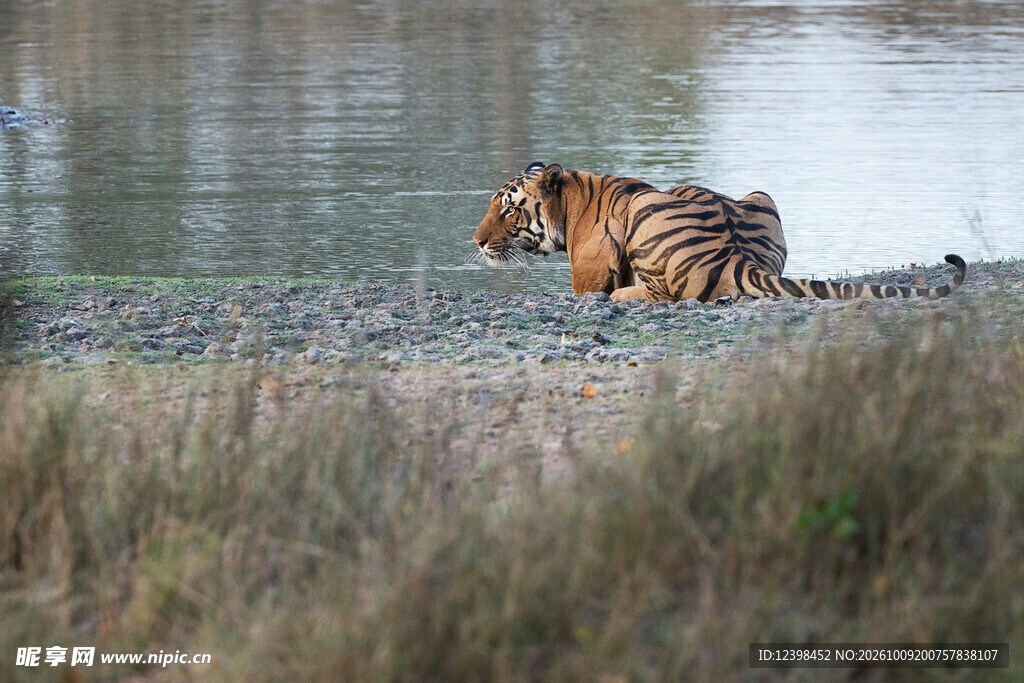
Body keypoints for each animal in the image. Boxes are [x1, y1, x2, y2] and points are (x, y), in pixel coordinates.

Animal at [472, 162, 966, 302]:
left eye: (508, 209)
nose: (476, 241)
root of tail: (739, 256)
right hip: (761, 194)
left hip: (647, 208)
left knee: (665, 297)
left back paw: (624, 295)